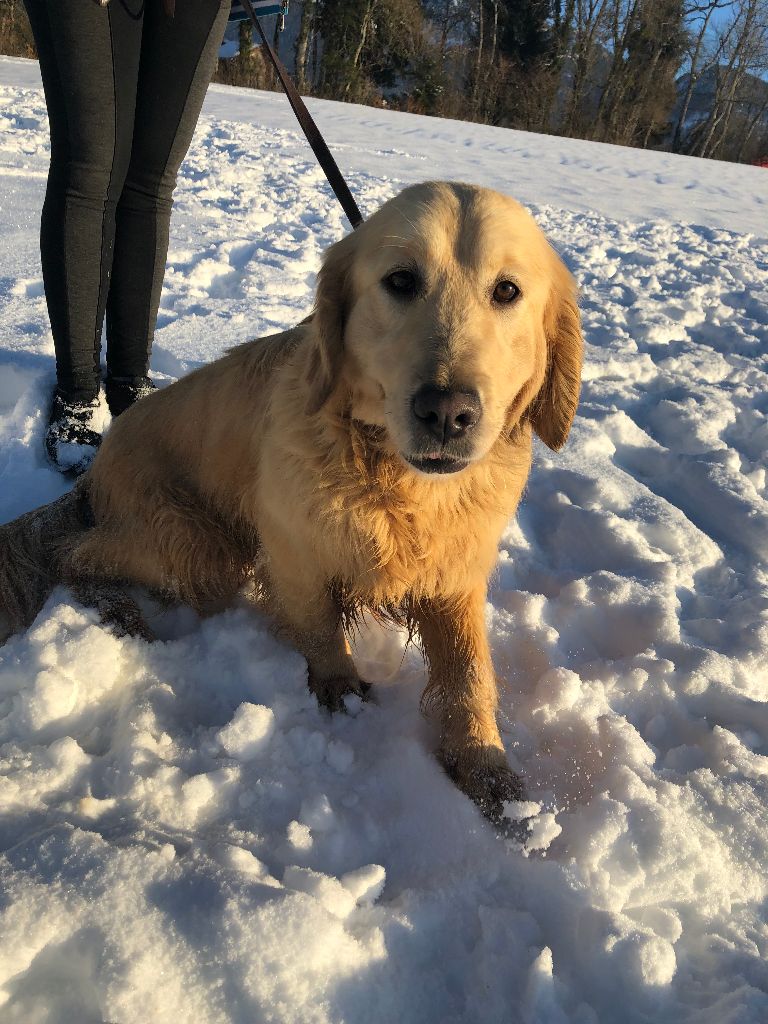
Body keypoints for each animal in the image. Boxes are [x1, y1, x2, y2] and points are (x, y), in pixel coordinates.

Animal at [0, 181, 582, 821]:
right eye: (401, 281)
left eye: (507, 291)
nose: (447, 412)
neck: (394, 478)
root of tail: (97, 466)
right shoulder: (290, 546)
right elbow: (320, 623)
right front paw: (340, 691)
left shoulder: (455, 571)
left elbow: (469, 671)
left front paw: (486, 766)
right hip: (198, 546)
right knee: (71, 554)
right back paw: (119, 612)